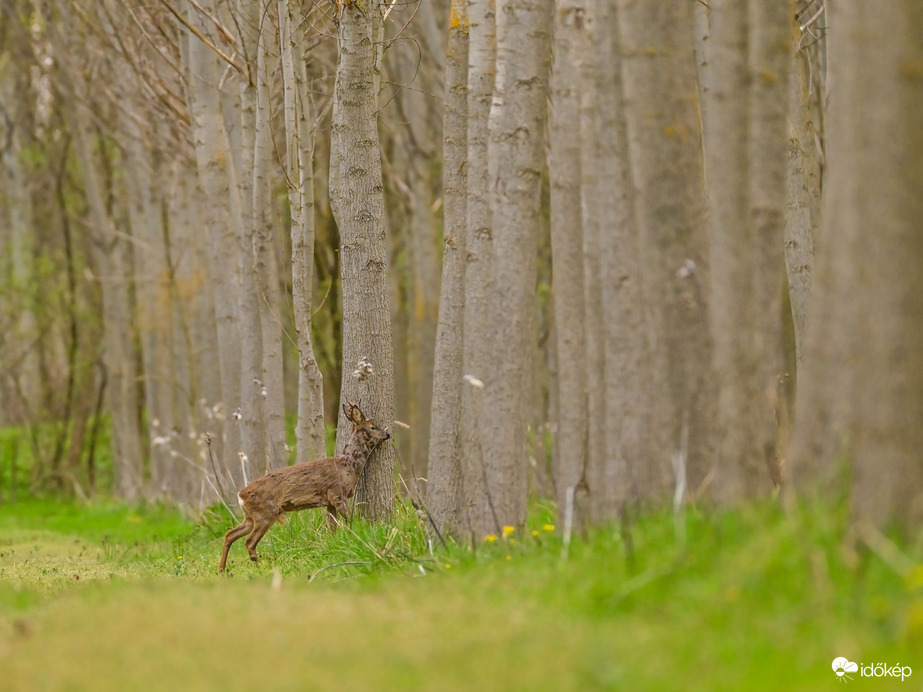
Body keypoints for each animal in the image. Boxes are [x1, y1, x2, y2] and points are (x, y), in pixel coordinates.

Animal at [219, 400, 390, 572]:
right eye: (373, 427)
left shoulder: (329, 502)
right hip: (265, 513)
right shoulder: (337, 494)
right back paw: (259, 565)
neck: (347, 467)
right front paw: (354, 535)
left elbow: (332, 528)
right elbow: (349, 521)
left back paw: (221, 569)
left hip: (250, 516)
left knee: (230, 534)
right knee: (249, 542)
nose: (387, 435)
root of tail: (241, 495)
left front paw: (336, 542)